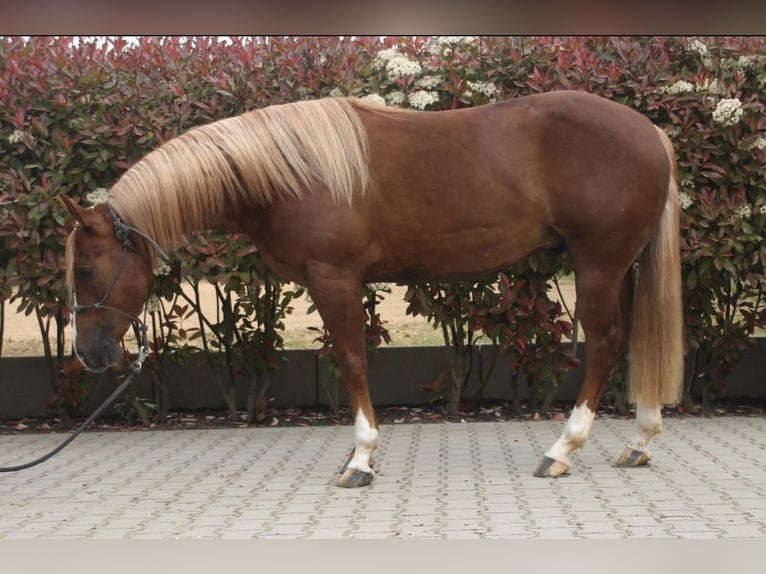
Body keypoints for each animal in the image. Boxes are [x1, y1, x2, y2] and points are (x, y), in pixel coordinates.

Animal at [62, 90, 683, 487]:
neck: (291, 171)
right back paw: (640, 442)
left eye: (85, 270)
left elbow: (352, 361)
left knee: (604, 345)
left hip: (598, 264)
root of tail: (649, 132)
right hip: (621, 267)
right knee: (632, 341)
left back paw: (561, 450)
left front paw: (360, 460)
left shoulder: (334, 279)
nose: (88, 353)